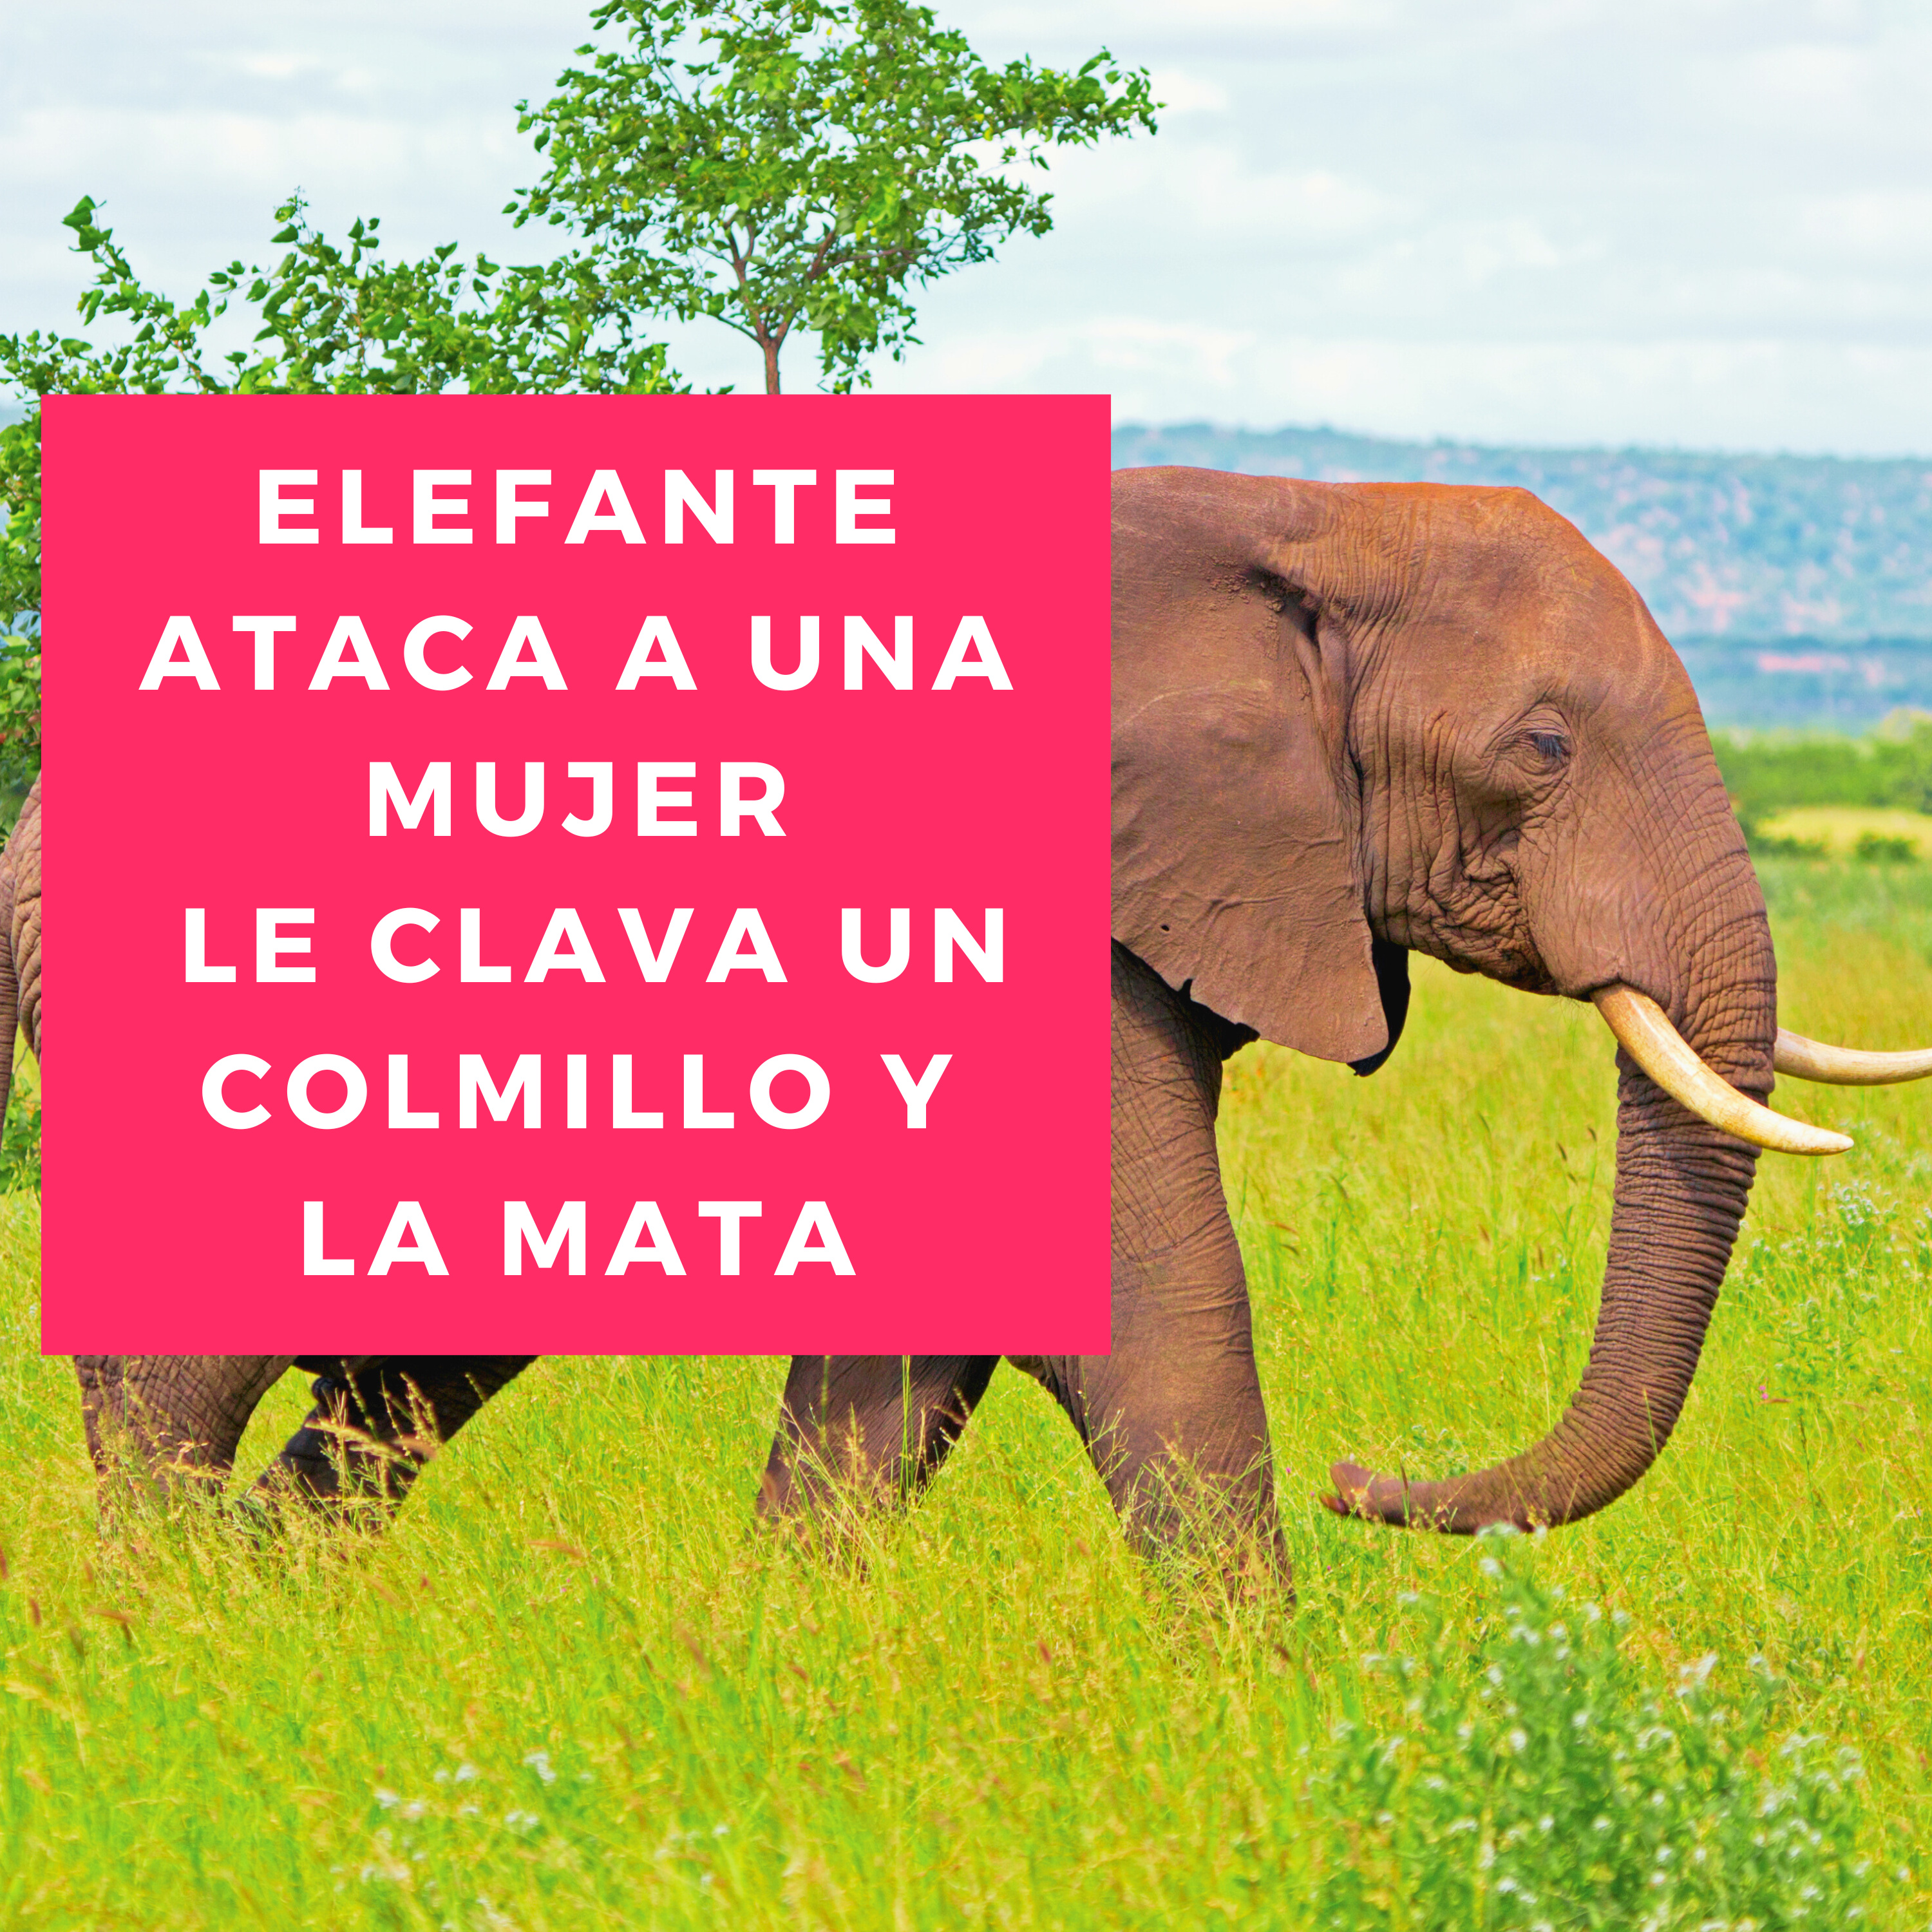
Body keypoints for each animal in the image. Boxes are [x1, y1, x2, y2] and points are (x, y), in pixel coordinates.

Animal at [29, 469, 1930, 1556]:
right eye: (1539, 748)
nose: (1368, 1483)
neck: (1299, 509)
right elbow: (1144, 1308)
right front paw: (1261, 1726)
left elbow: (912, 1361)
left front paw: (782, 1670)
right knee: (198, 1361)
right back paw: (165, 1641)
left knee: (407, 1371)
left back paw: (271, 1603)